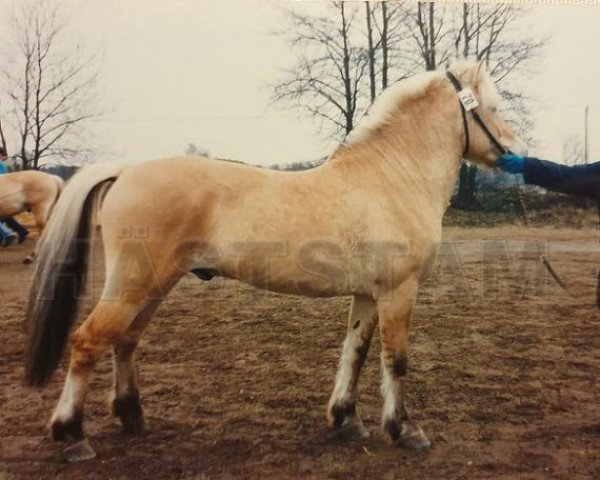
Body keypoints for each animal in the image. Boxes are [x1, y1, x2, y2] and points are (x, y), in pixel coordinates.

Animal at [25, 61, 528, 462]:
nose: (517, 151)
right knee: (88, 341)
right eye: (493, 107)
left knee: (125, 341)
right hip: (135, 284)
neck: (388, 178)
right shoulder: (398, 291)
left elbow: (356, 352)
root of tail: (126, 170)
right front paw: (404, 430)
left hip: (154, 286)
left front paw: (346, 419)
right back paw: (72, 435)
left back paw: (131, 417)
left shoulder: (368, 294)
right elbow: (396, 360)